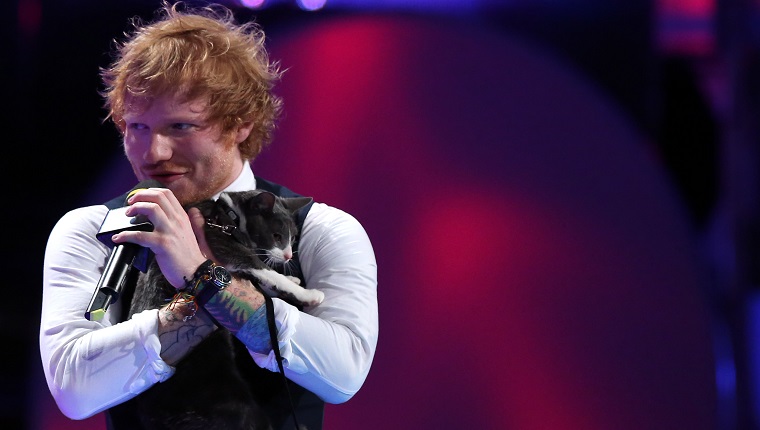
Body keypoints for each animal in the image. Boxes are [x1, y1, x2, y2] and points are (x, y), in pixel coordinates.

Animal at [126, 190, 322, 428]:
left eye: (293, 238)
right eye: (276, 236)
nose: (288, 256)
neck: (230, 217)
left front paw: (291, 280)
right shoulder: (223, 244)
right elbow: (261, 267)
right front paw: (308, 294)